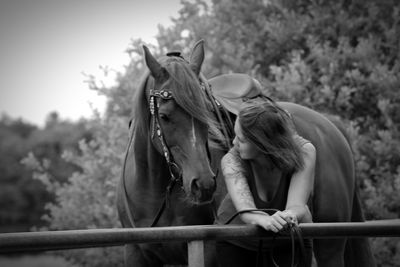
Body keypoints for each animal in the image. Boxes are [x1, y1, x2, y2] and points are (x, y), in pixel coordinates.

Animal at [115, 40, 376, 267]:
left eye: (206, 112)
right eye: (165, 116)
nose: (204, 184)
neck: (159, 190)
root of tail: (330, 124)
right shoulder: (135, 252)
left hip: (330, 243)